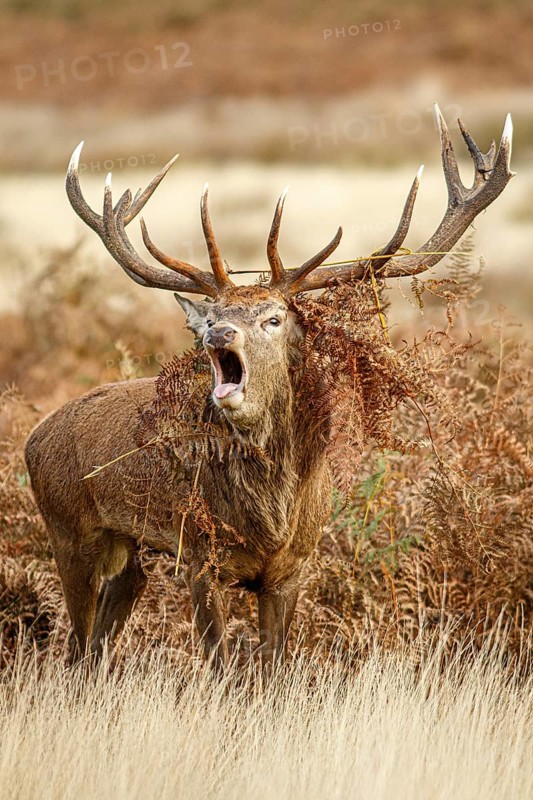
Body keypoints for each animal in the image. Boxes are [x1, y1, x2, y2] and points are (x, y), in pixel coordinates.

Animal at [25, 106, 514, 673]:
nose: (218, 333)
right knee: (76, 648)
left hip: (130, 550)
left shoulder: (292, 568)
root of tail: (32, 437)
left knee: (100, 638)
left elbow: (274, 669)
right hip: (68, 531)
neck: (270, 518)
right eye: (214, 314)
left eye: (273, 318)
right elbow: (219, 664)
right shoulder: (200, 555)